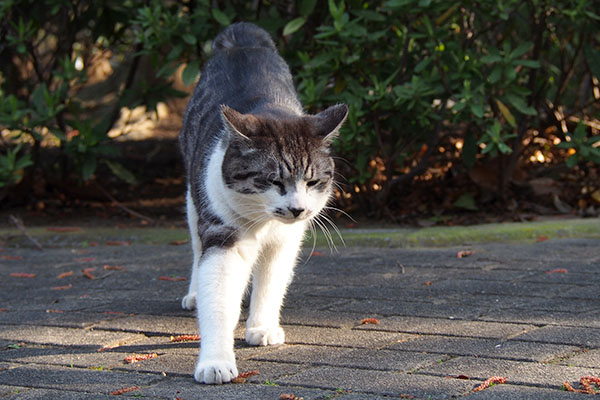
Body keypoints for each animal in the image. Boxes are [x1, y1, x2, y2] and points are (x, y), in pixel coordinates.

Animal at [178, 22, 346, 384]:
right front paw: (215, 361)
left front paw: (262, 327)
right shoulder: (222, 231)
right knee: (197, 249)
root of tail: (241, 35)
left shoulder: (286, 240)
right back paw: (194, 294)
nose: (297, 208)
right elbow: (219, 295)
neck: (263, 223)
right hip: (192, 198)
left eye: (312, 181)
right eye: (273, 181)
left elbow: (271, 281)